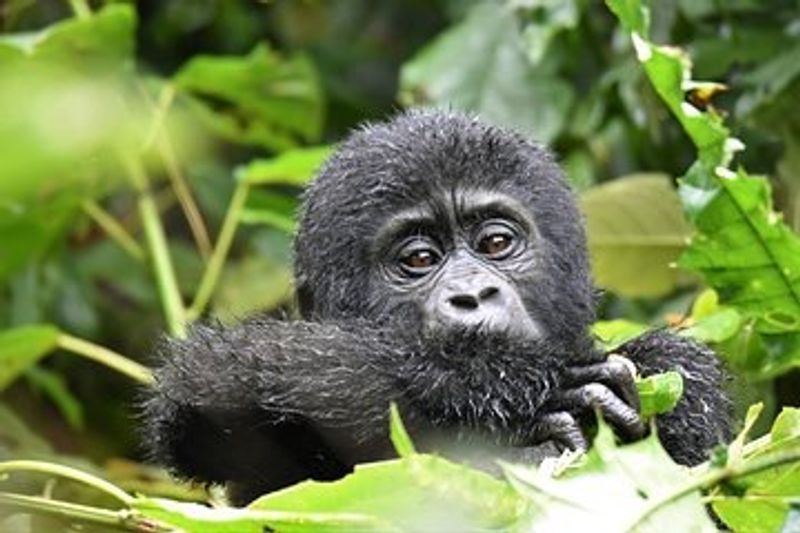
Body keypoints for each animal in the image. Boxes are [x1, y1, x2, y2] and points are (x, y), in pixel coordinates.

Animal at [139, 109, 732, 502]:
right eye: (420, 258)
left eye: (496, 243)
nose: (471, 294)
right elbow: (219, 387)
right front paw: (499, 397)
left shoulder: (682, 377)